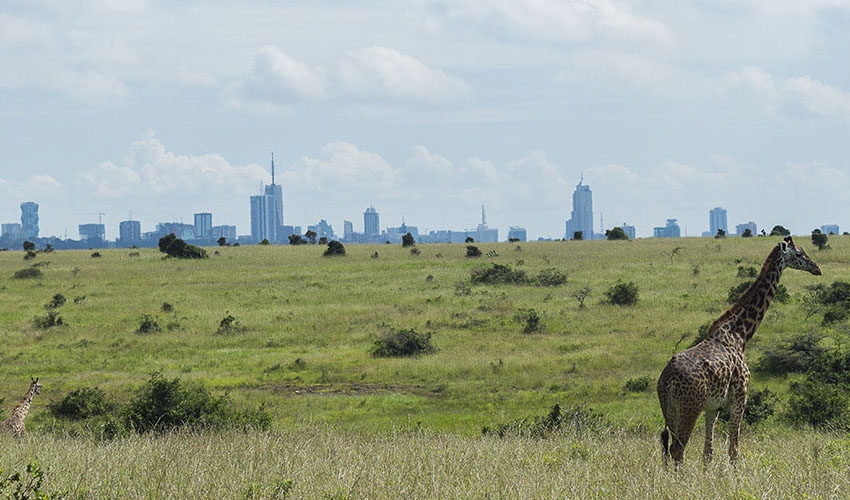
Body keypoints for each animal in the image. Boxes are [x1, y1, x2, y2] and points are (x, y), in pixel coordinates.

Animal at [652, 236, 820, 466]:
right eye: (799, 254)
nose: (817, 268)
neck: (740, 334)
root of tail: (666, 379)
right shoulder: (740, 397)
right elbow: (734, 450)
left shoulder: (713, 407)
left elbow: (708, 453)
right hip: (689, 407)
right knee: (677, 449)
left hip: (669, 409)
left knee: (666, 449)